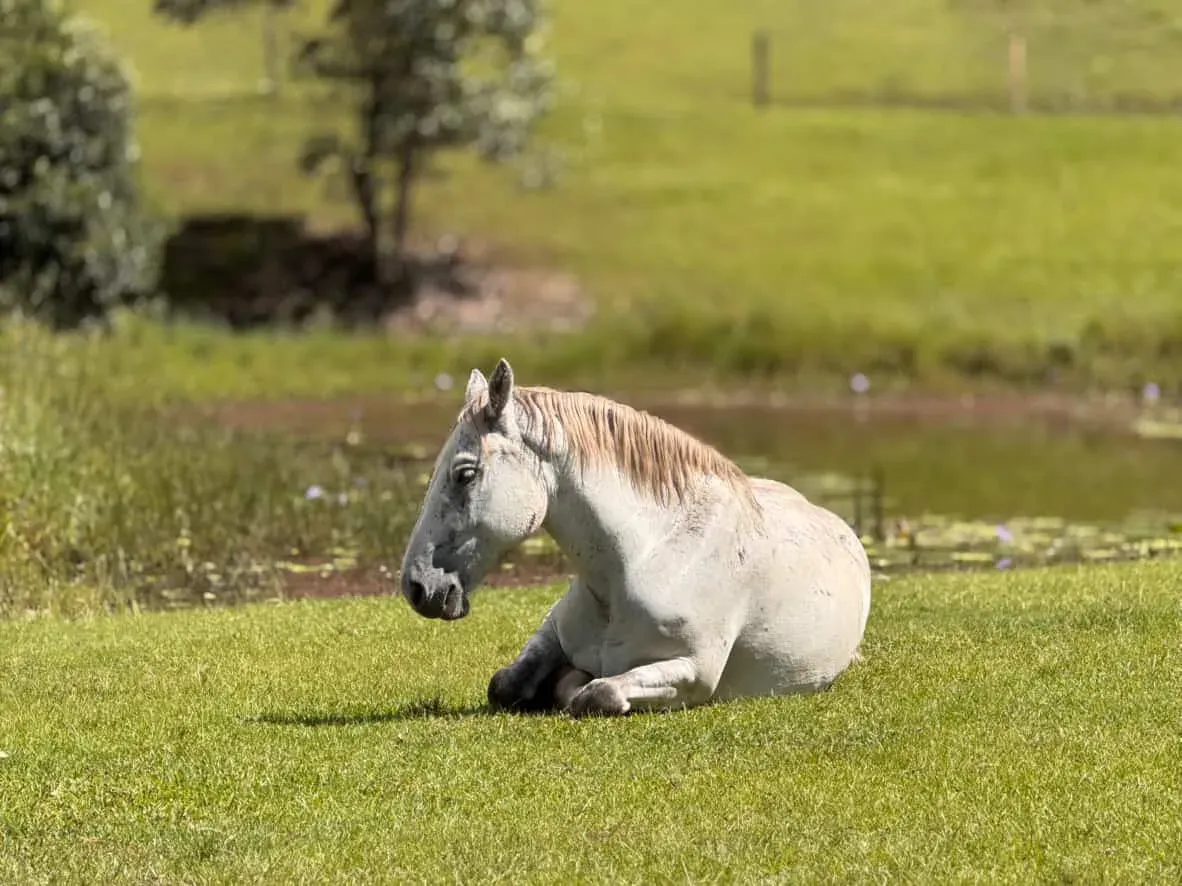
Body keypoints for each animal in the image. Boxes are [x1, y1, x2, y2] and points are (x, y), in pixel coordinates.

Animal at [399, 358, 872, 718]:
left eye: (465, 473)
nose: (417, 587)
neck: (647, 557)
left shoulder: (694, 672)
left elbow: (599, 692)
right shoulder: (551, 634)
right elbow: (504, 684)